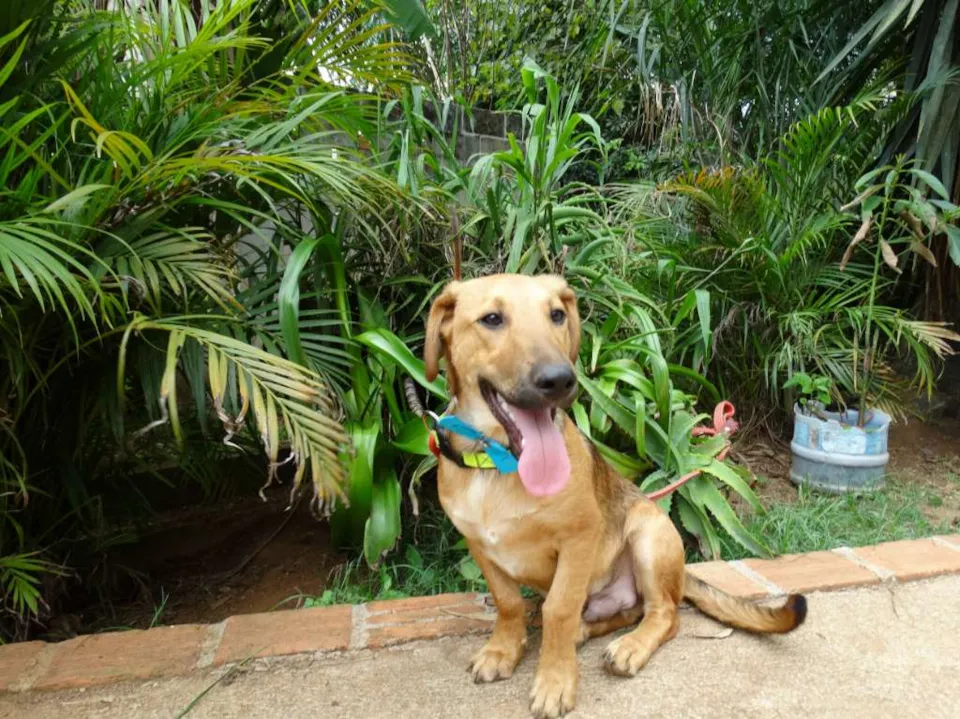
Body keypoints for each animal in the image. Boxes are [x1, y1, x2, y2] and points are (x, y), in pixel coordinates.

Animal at [423, 274, 806, 718]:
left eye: (556, 314)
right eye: (491, 319)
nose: (560, 379)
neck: (498, 466)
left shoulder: (579, 538)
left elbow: (559, 608)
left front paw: (555, 682)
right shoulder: (479, 545)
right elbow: (509, 603)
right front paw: (503, 651)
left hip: (649, 534)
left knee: (664, 613)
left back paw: (630, 647)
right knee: (626, 611)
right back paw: (588, 631)